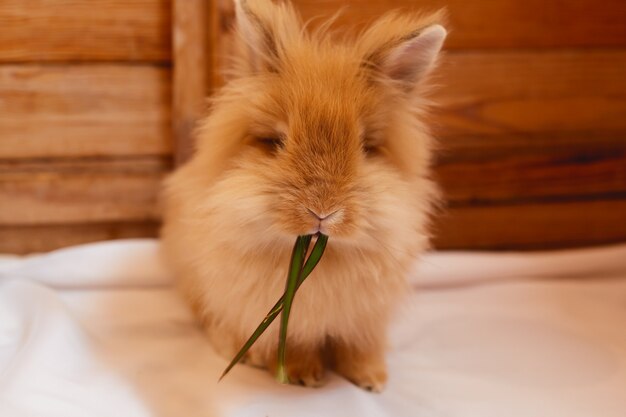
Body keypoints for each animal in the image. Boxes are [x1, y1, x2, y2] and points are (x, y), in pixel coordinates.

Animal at [161, 0, 444, 390]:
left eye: (366, 147)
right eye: (275, 141)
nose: (322, 211)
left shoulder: (365, 316)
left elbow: (360, 344)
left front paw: (372, 378)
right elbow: (293, 341)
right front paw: (302, 374)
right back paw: (241, 352)